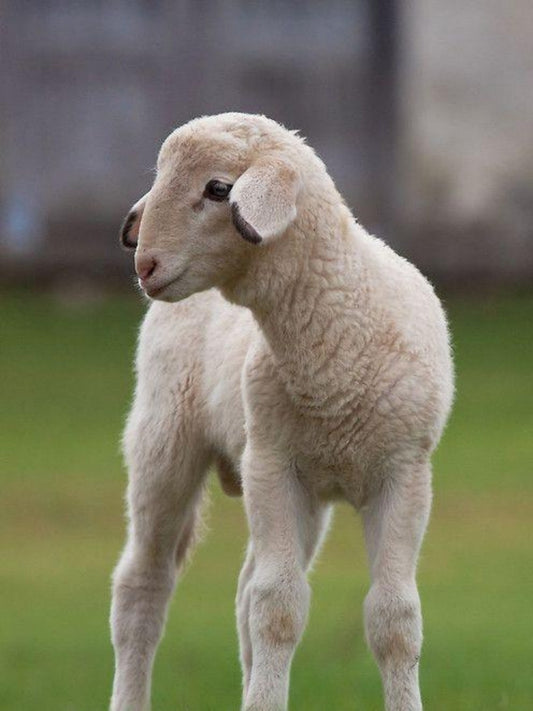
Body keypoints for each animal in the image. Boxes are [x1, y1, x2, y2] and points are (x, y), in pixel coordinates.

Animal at [110, 112, 454, 711]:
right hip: (163, 437)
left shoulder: (405, 473)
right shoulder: (271, 464)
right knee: (143, 586)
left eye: (218, 189)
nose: (145, 264)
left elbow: (394, 618)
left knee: (245, 589)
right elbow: (279, 608)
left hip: (306, 493)